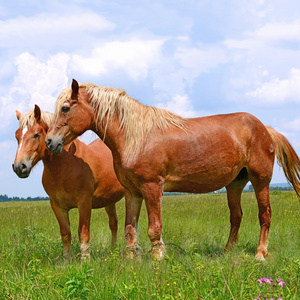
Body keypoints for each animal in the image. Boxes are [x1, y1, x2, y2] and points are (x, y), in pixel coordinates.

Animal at [12, 105, 125, 260]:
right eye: (17, 136)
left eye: (36, 134)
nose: (19, 167)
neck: (65, 166)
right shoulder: (57, 206)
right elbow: (65, 233)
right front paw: (66, 259)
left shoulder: (84, 203)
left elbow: (83, 232)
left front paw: (85, 259)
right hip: (109, 200)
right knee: (113, 223)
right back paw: (113, 251)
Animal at [45, 79, 300, 260]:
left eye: (65, 108)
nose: (50, 142)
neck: (136, 136)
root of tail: (265, 128)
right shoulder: (132, 192)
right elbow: (130, 229)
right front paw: (131, 262)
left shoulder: (152, 187)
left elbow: (154, 229)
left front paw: (158, 260)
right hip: (235, 184)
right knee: (236, 217)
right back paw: (228, 252)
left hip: (260, 180)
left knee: (264, 216)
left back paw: (260, 254)